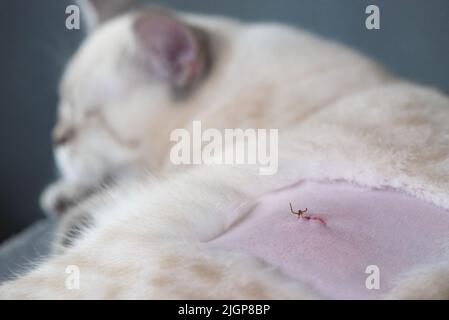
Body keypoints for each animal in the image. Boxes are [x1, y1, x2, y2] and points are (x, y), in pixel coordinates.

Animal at [0, 1, 448, 298]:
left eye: (81, 123)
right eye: (62, 114)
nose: (56, 137)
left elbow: (88, 204)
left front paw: (66, 205)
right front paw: (58, 194)